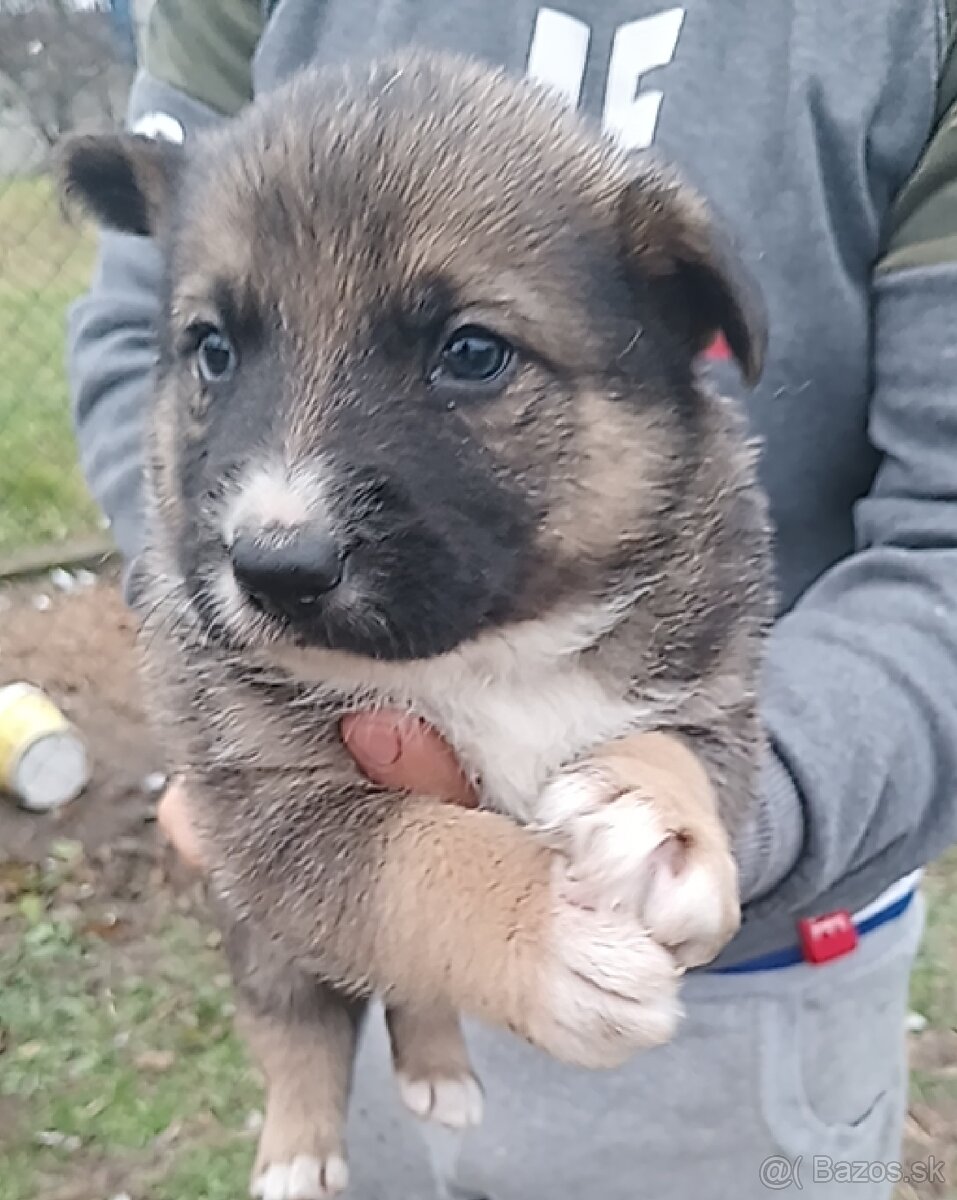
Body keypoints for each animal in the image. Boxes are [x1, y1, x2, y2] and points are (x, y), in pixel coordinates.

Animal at [59, 51, 777, 1195]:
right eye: (212, 350)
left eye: (471, 353)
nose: (272, 568)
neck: (487, 648)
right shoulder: (273, 812)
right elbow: (423, 860)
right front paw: (543, 936)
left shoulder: (714, 683)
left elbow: (673, 748)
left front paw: (647, 815)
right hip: (258, 932)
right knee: (299, 1021)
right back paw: (299, 1147)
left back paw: (438, 1069)